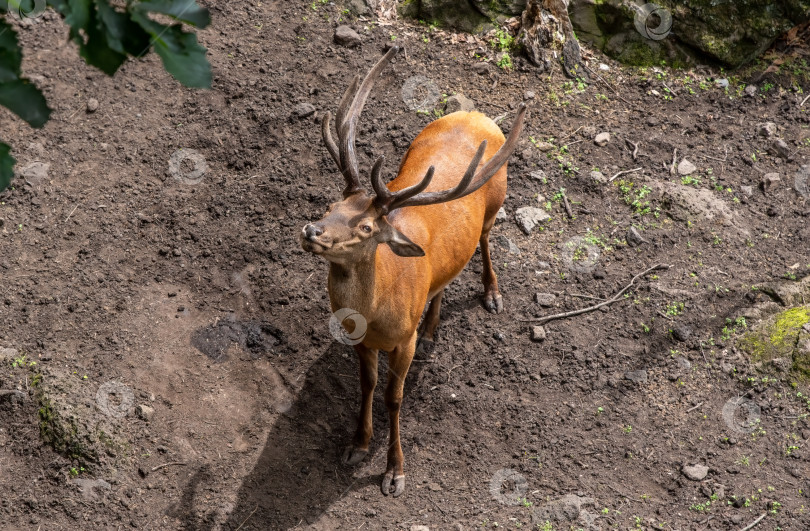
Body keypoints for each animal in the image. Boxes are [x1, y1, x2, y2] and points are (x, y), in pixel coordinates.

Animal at [300, 46, 528, 498]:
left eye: (366, 228)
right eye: (332, 206)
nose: (312, 230)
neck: (375, 316)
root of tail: (477, 114)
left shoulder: (400, 340)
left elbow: (393, 397)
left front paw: (393, 471)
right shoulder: (362, 342)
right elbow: (367, 384)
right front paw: (357, 444)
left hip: (496, 202)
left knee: (485, 240)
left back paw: (491, 294)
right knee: (445, 277)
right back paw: (432, 331)